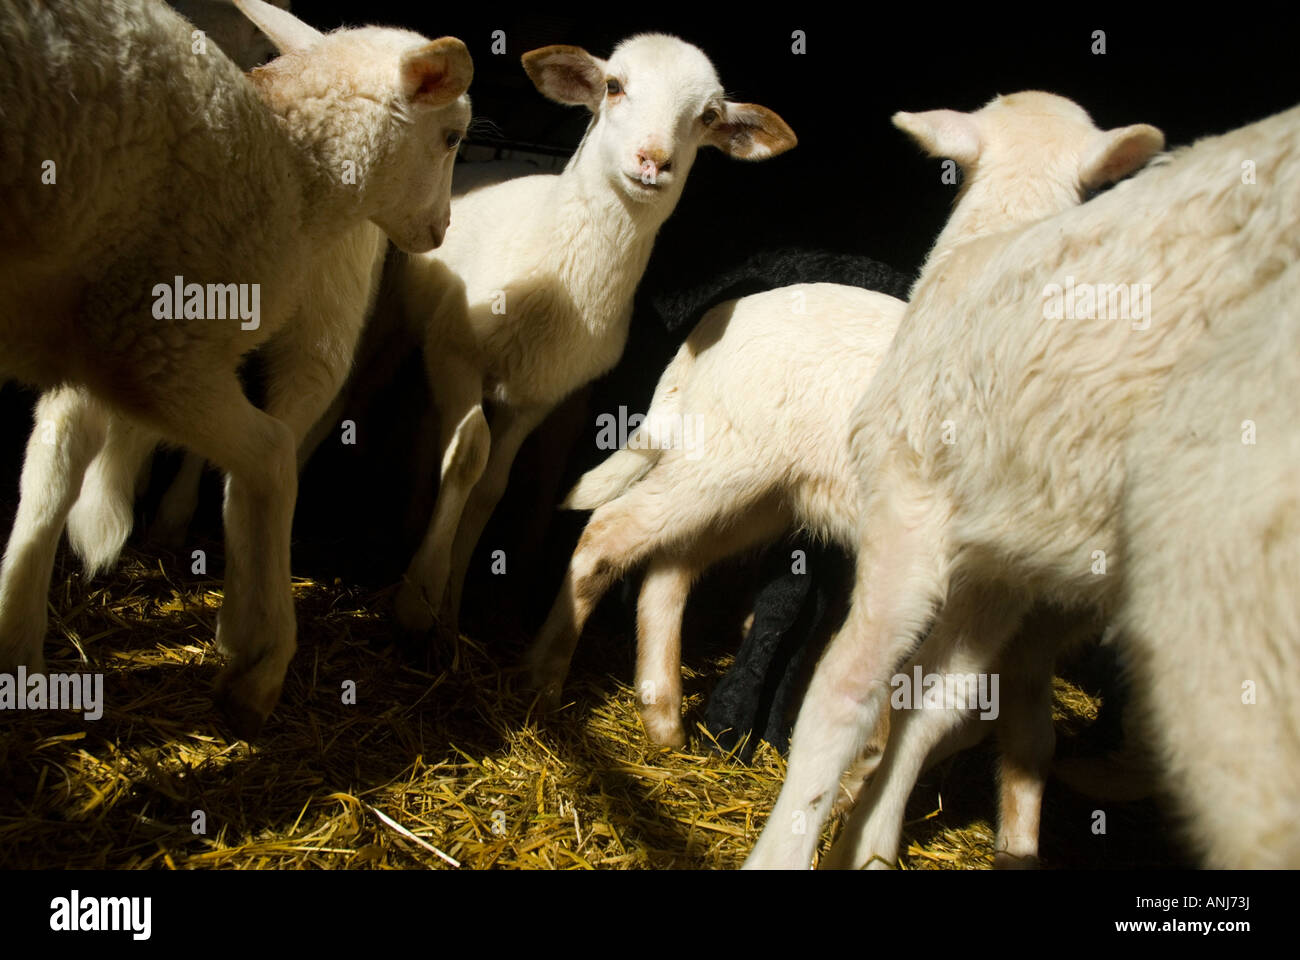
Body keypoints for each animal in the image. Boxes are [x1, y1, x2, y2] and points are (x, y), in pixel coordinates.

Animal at [0, 0, 475, 738]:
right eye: (452, 136)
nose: (443, 229)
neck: (292, 161)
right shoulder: (159, 343)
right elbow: (269, 459)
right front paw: (260, 664)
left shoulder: (107, 333)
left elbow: (52, 460)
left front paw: (19, 648)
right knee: (275, 453)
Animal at [387, 33, 790, 640]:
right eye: (615, 86)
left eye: (708, 117)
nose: (654, 160)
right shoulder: (454, 351)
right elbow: (467, 456)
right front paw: (418, 597)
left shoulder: (539, 394)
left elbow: (492, 485)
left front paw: (451, 607)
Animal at [748, 102, 1300, 868]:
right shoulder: (1003, 565)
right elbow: (938, 703)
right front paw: (869, 841)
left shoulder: (911, 505)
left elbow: (846, 694)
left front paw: (797, 847)